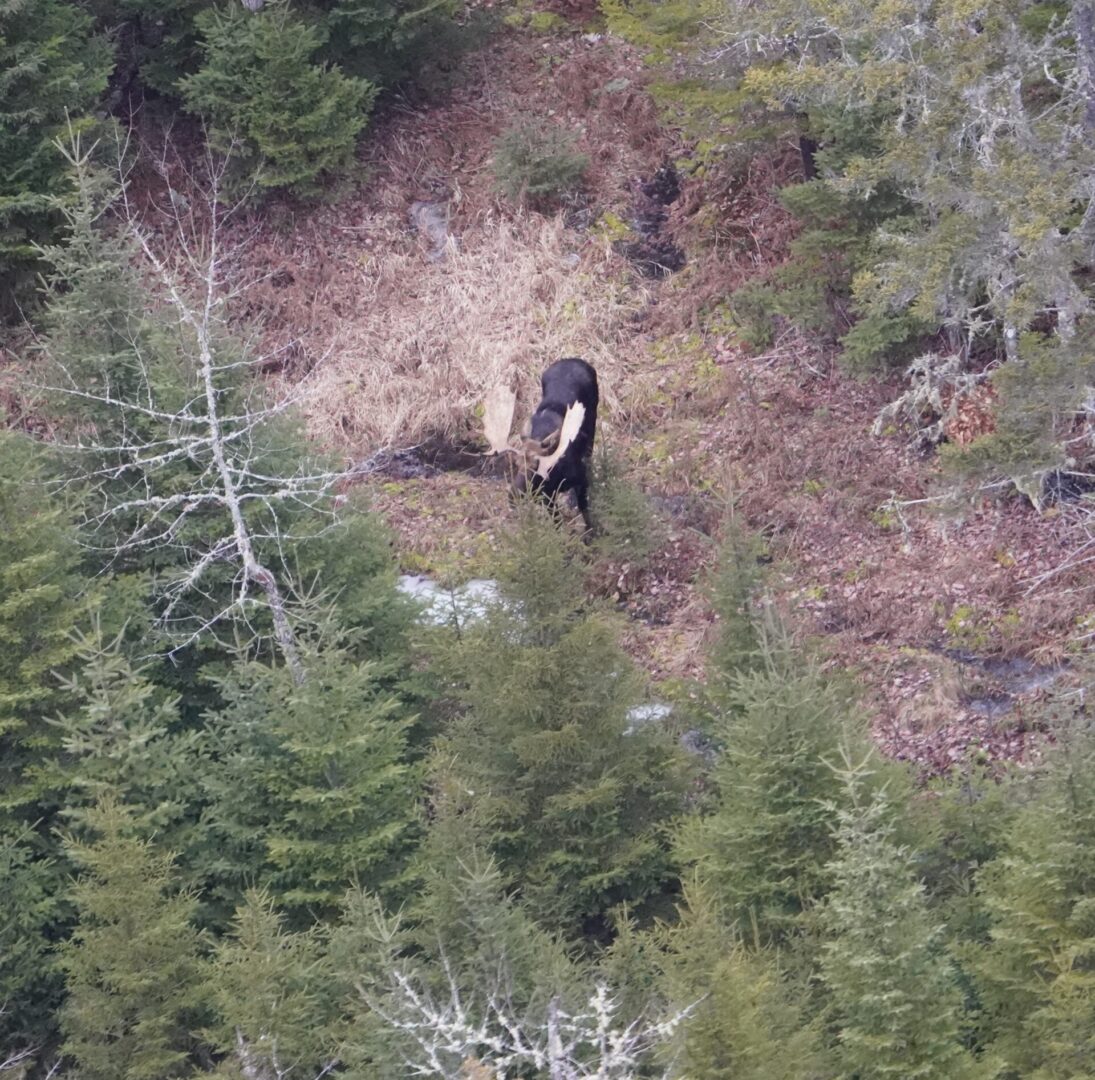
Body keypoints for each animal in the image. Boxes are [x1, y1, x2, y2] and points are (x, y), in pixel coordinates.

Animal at [481, 357, 595, 530]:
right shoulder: (546, 496)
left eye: (536, 466)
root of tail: (573, 359)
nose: (513, 495)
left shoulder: (581, 480)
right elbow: (557, 522)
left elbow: (585, 511)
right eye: (516, 464)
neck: (557, 472)